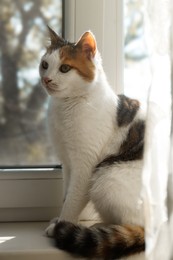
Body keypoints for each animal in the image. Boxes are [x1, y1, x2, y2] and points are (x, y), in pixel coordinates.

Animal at [39, 27, 146, 258]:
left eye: (65, 68)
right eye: (44, 65)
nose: (47, 80)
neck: (65, 108)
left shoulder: (84, 164)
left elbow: (73, 199)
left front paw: (62, 224)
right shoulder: (67, 163)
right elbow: (66, 194)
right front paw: (60, 220)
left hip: (107, 176)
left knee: (139, 226)